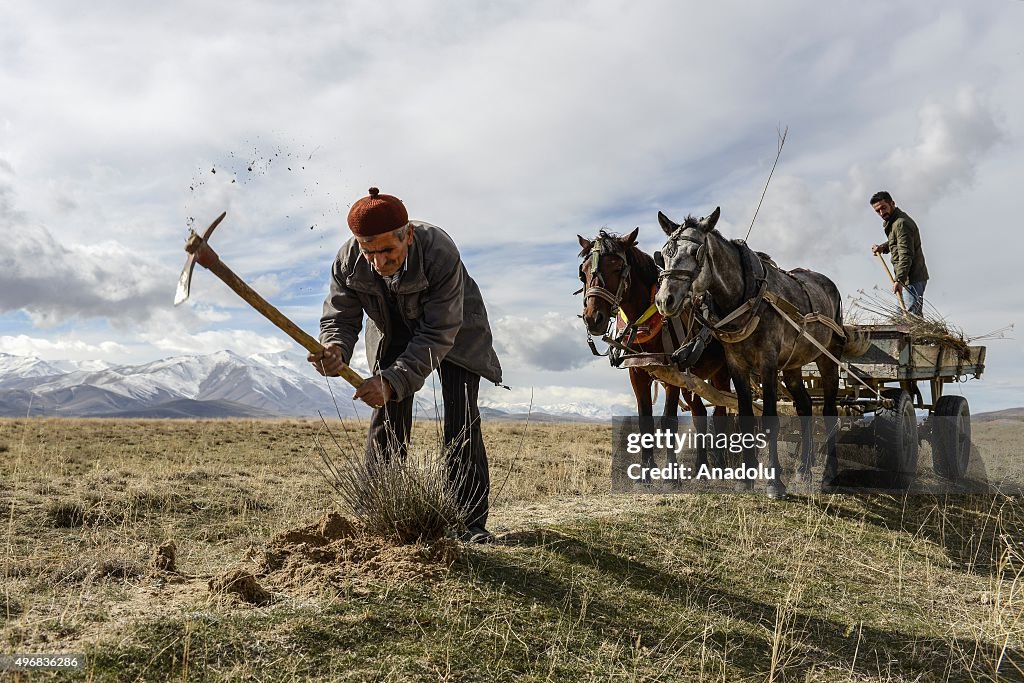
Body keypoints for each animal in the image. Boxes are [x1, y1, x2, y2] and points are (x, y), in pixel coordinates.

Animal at [577, 228, 737, 475]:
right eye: (582, 273)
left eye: (617, 268)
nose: (593, 318)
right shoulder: (638, 373)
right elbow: (646, 421)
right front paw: (646, 470)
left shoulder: (672, 373)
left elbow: (669, 421)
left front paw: (671, 473)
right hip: (692, 380)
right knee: (699, 414)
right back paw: (701, 466)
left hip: (722, 372)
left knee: (721, 411)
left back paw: (719, 463)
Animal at [655, 205, 847, 499]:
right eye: (664, 253)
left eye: (695, 252)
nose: (665, 300)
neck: (744, 297)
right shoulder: (736, 364)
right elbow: (746, 417)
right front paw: (745, 480)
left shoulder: (767, 362)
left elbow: (769, 419)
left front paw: (774, 483)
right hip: (793, 365)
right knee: (804, 407)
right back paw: (802, 470)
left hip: (827, 358)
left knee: (828, 413)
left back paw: (828, 475)